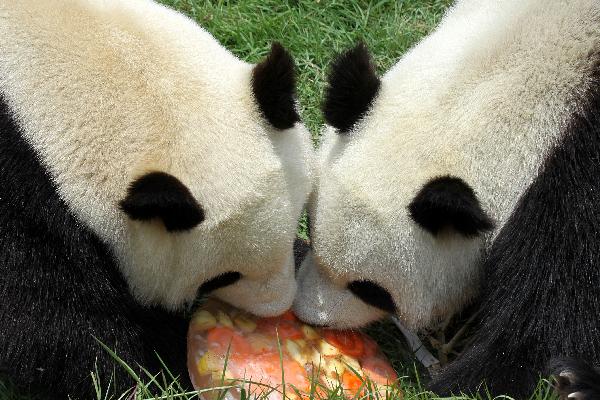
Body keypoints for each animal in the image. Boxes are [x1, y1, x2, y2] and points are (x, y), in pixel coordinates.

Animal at [1, 0, 314, 396]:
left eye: (294, 226)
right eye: (224, 276)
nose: (278, 308)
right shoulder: (25, 197)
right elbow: (52, 324)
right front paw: (159, 369)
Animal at [294, 0, 600, 396]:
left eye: (370, 290)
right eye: (313, 233)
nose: (308, 316)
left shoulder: (577, 185)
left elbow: (555, 306)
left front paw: (465, 381)